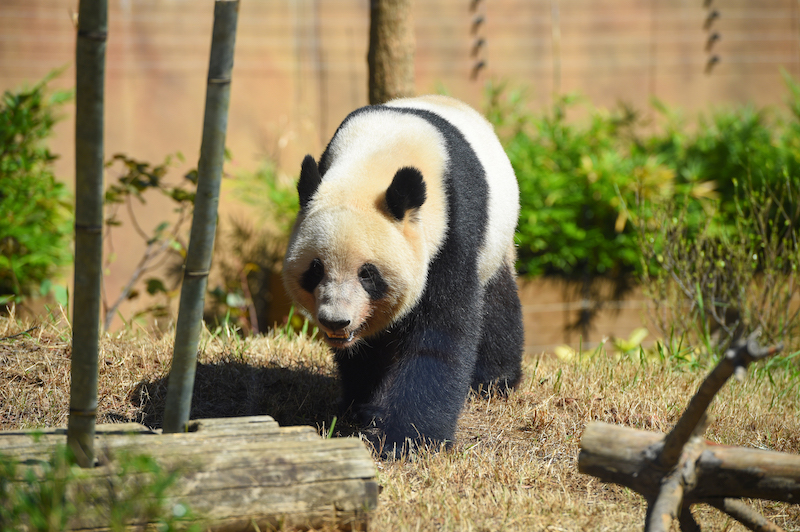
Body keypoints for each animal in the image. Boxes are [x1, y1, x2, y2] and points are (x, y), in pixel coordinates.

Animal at [282, 94, 524, 454]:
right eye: (315, 269)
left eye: (368, 274)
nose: (336, 322)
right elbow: (366, 350)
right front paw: (364, 407)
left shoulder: (449, 230)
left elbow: (439, 333)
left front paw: (407, 439)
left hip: (497, 240)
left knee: (497, 302)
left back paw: (494, 380)